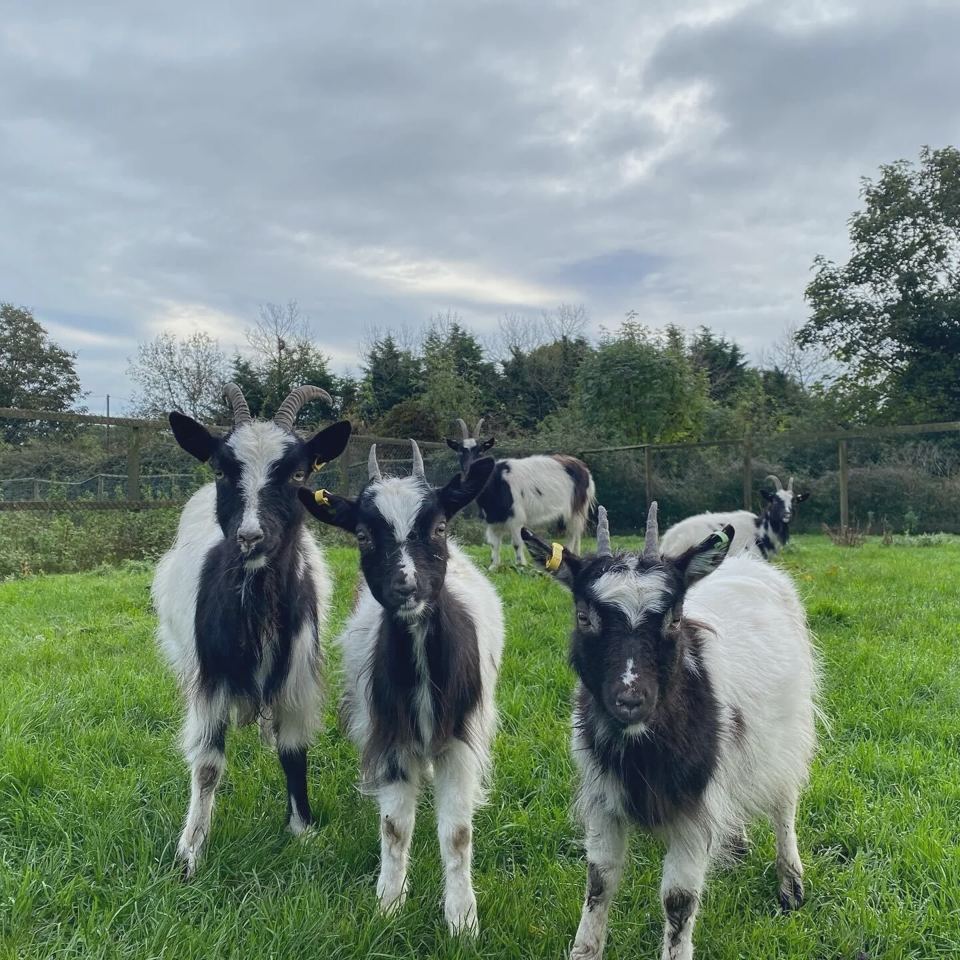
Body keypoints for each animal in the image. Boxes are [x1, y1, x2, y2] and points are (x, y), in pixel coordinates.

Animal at [152, 383, 352, 877]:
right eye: (222, 470)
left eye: (298, 472)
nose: (250, 537)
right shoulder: (209, 678)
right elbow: (207, 765)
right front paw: (191, 852)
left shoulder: (298, 674)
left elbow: (293, 751)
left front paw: (302, 830)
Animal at [298, 441, 503, 934]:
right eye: (362, 535)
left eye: (439, 527)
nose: (405, 586)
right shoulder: (389, 735)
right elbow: (394, 828)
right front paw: (389, 904)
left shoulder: (460, 740)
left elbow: (457, 833)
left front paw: (462, 921)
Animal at [445, 416, 595, 569]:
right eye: (460, 451)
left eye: (481, 451)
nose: (471, 471)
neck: (497, 483)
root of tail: (583, 468)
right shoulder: (493, 520)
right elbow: (493, 544)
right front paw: (493, 566)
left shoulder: (516, 518)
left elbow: (517, 544)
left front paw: (520, 565)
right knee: (577, 534)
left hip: (576, 507)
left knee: (573, 533)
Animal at [522, 502, 819, 960]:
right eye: (584, 616)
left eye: (675, 618)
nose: (630, 698)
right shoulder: (604, 798)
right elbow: (599, 880)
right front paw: (584, 949)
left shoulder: (693, 811)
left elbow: (678, 900)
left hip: (786, 734)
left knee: (784, 802)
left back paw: (790, 882)